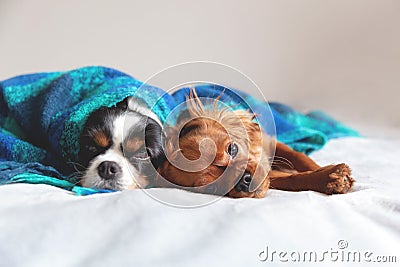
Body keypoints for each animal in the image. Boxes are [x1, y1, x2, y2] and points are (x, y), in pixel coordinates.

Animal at [158, 91, 354, 198]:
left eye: (232, 149)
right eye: (212, 188)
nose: (243, 182)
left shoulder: (270, 141)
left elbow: (299, 157)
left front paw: (325, 170)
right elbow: (289, 179)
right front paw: (327, 178)